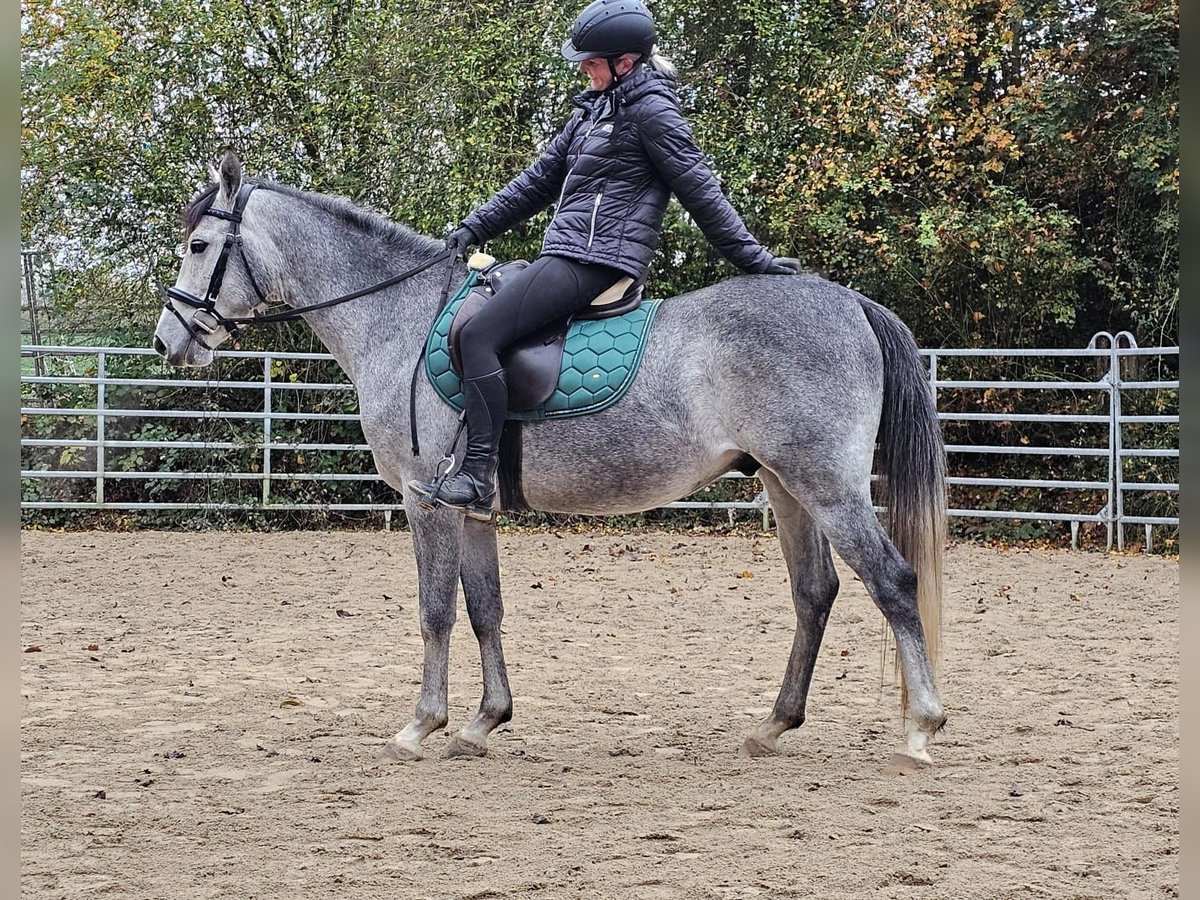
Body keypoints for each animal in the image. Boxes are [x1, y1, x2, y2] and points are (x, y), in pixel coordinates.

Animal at [154, 153, 945, 768]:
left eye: (198, 245)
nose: (169, 340)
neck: (400, 319)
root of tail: (848, 303)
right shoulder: (471, 509)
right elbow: (485, 610)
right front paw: (483, 722)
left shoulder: (424, 500)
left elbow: (435, 611)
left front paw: (421, 725)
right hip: (787, 487)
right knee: (815, 593)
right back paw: (774, 725)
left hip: (828, 487)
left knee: (892, 581)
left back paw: (919, 728)